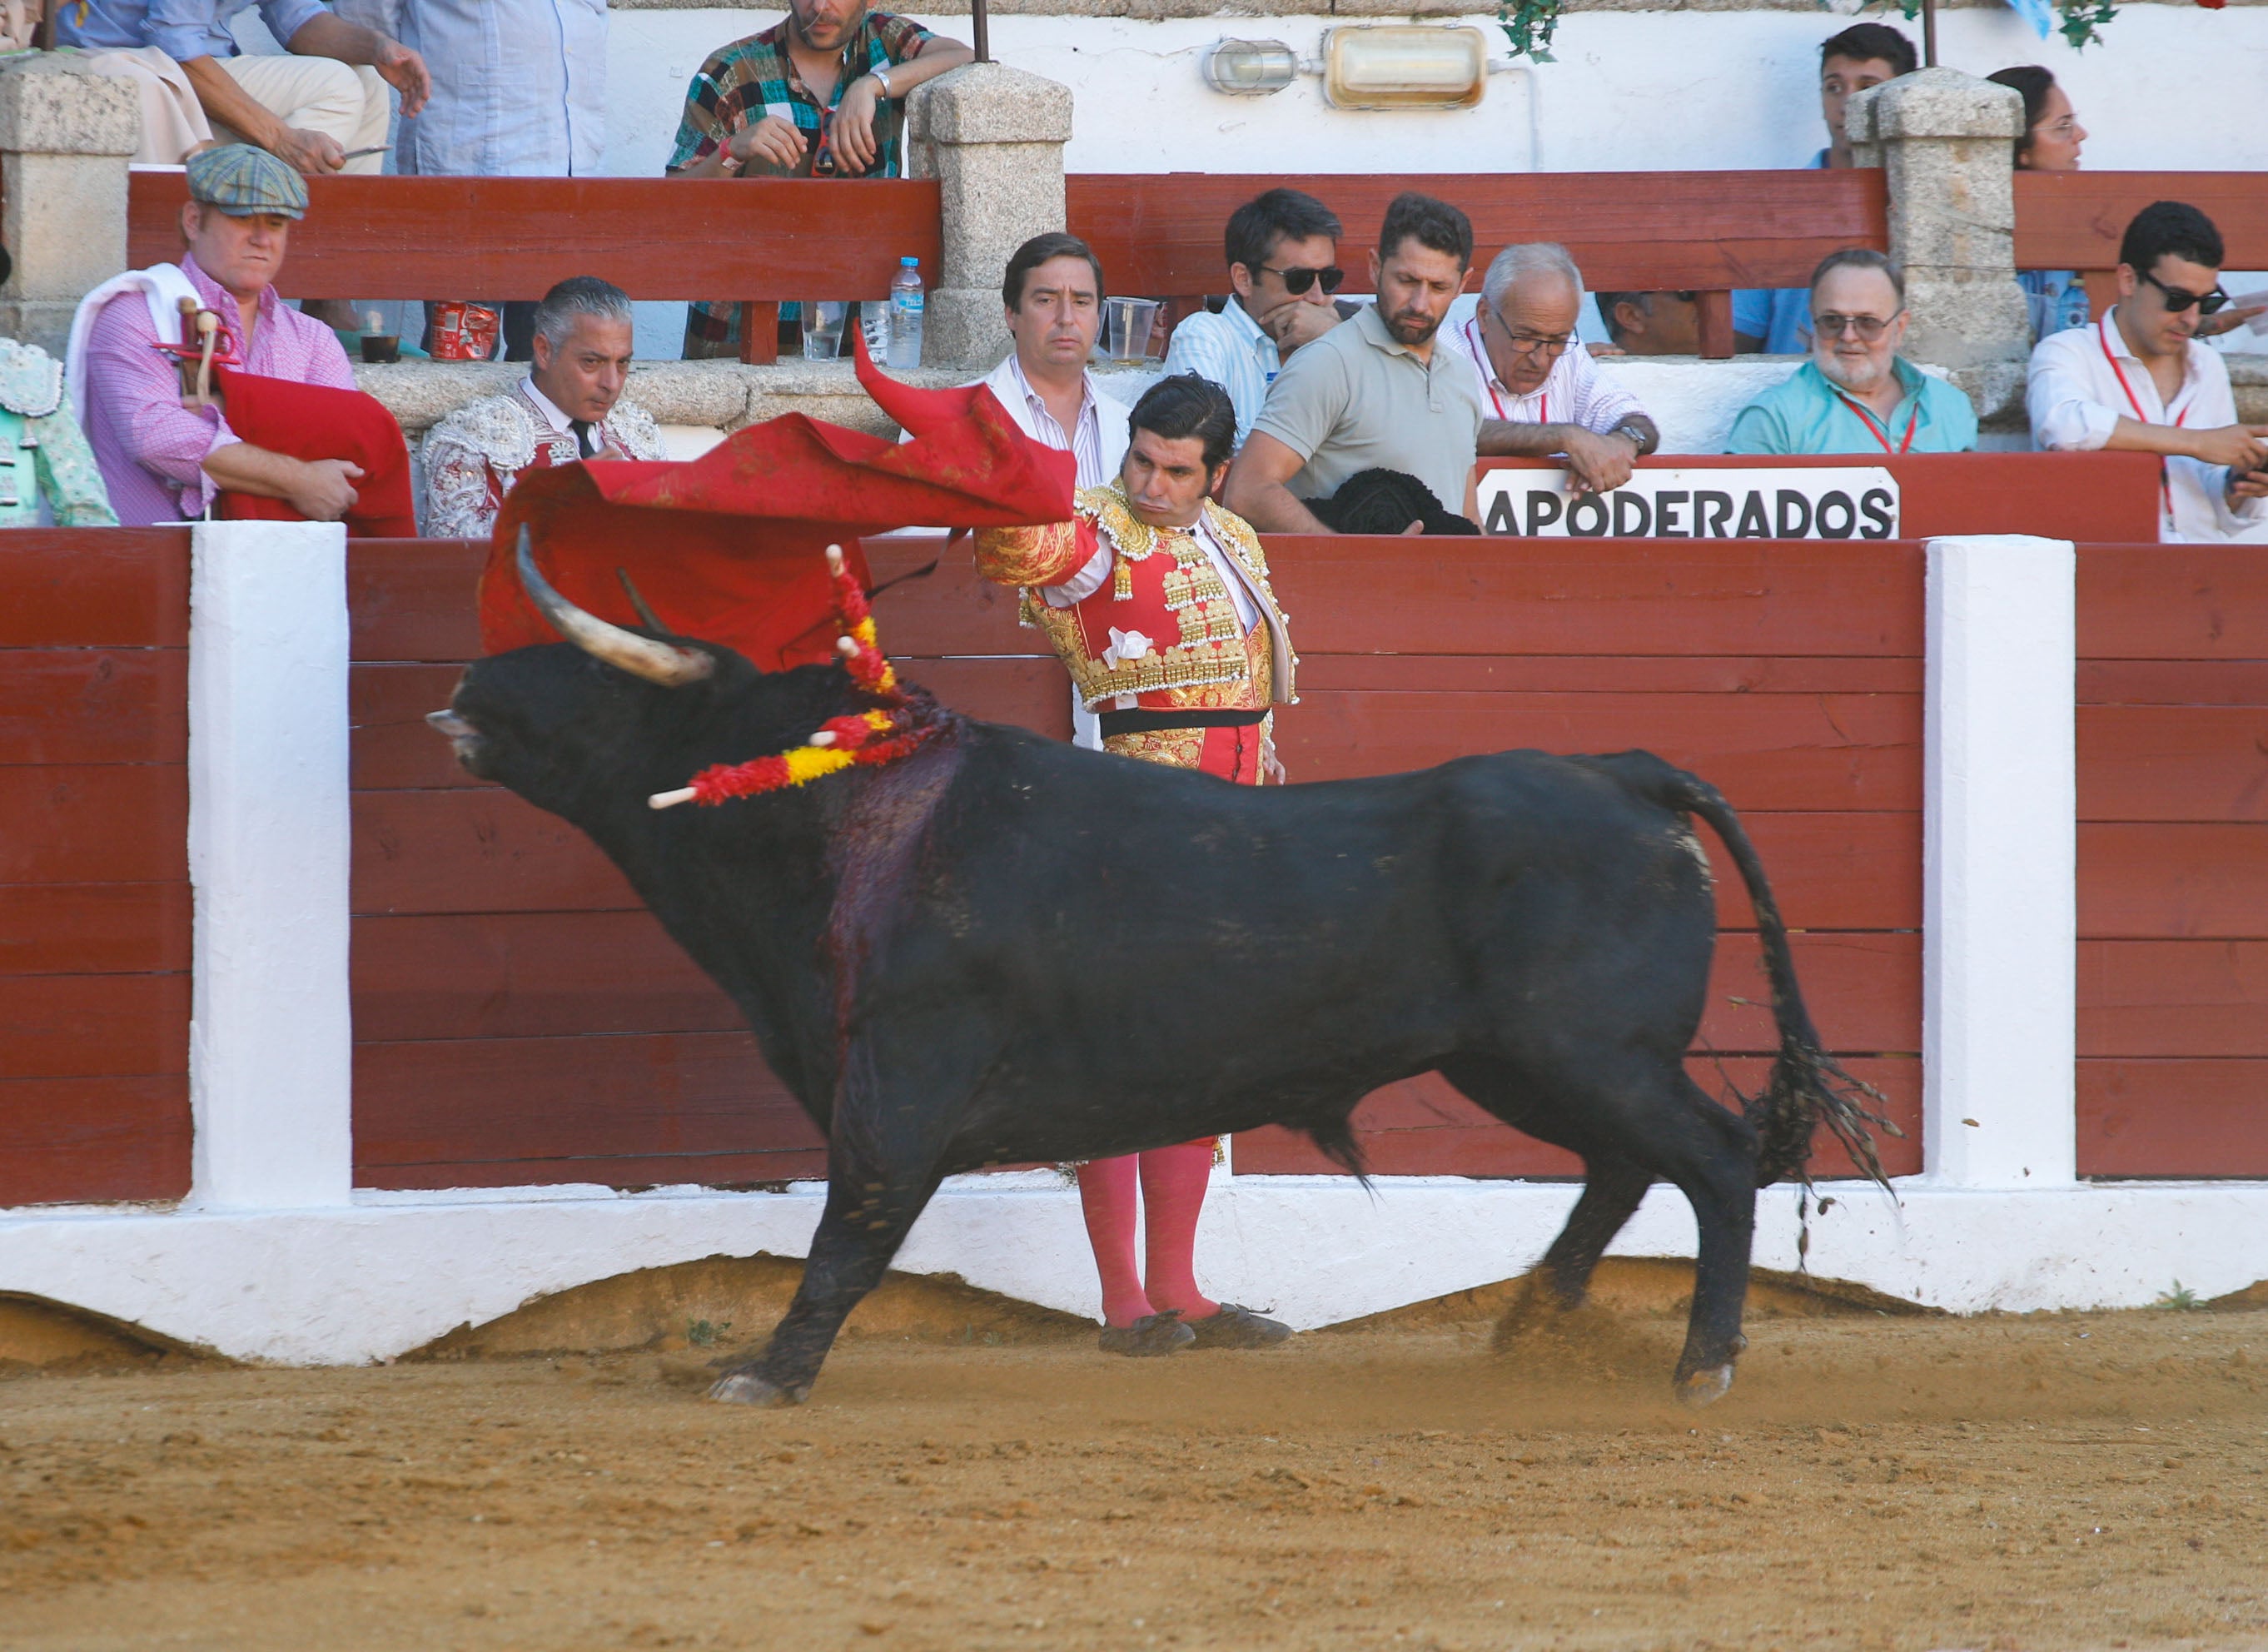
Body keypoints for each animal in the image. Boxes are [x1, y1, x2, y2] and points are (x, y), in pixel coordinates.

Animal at [433, 555, 1887, 1406]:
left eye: (585, 675)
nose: (465, 681)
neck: (835, 810)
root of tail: (1624, 770)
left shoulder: (894, 1086)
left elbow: (849, 1232)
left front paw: (766, 1377)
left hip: (1583, 1054)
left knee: (1712, 1162)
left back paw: (1701, 1364)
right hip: (1524, 1063)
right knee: (1628, 1168)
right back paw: (1532, 1326)